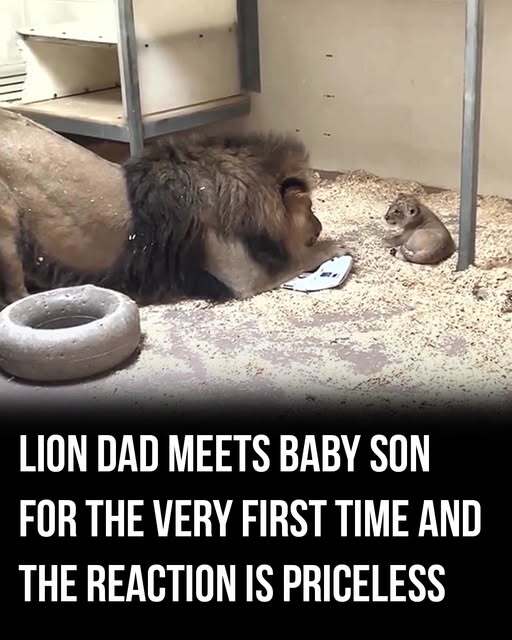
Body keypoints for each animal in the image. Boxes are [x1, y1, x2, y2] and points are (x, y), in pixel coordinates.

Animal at [0, 108, 347, 306]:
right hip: (7, 233)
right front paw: (335, 246)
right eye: (310, 207)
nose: (319, 228)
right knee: (15, 297)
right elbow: (297, 260)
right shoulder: (242, 277)